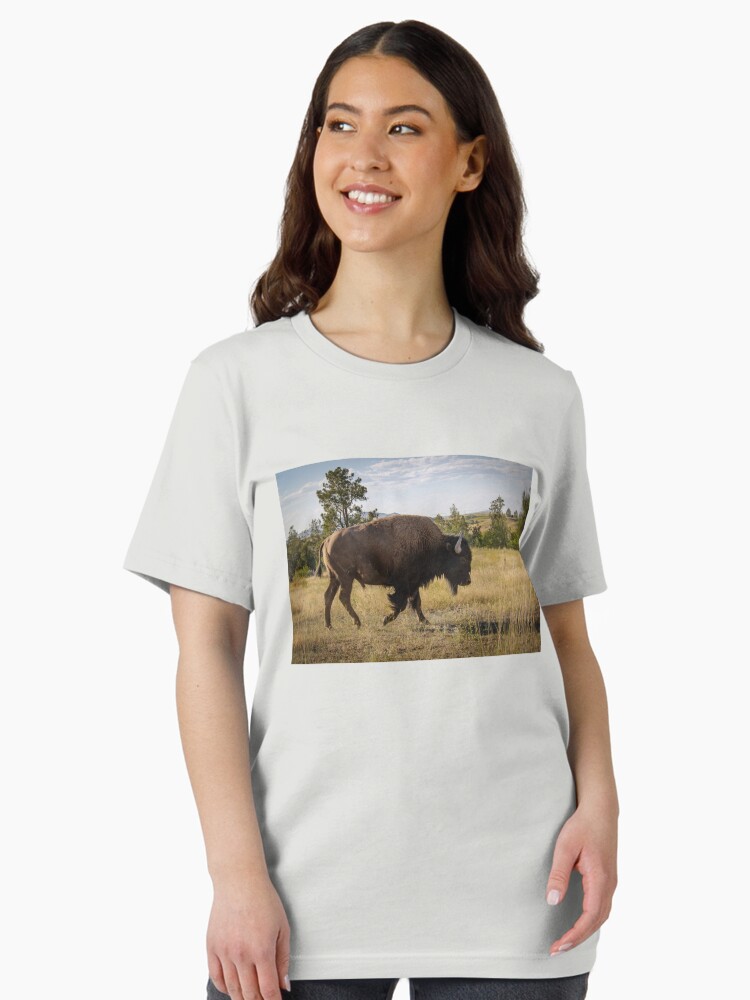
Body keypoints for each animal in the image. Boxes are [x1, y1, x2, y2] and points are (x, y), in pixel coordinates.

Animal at [314, 513, 472, 628]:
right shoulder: (403, 585)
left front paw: (425, 620)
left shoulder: (414, 583)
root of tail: (327, 540)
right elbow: (401, 605)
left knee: (328, 596)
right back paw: (357, 623)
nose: (468, 581)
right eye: (463, 559)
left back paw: (329, 626)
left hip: (334, 578)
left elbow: (416, 602)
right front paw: (385, 620)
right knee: (343, 597)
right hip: (346, 578)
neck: (432, 545)